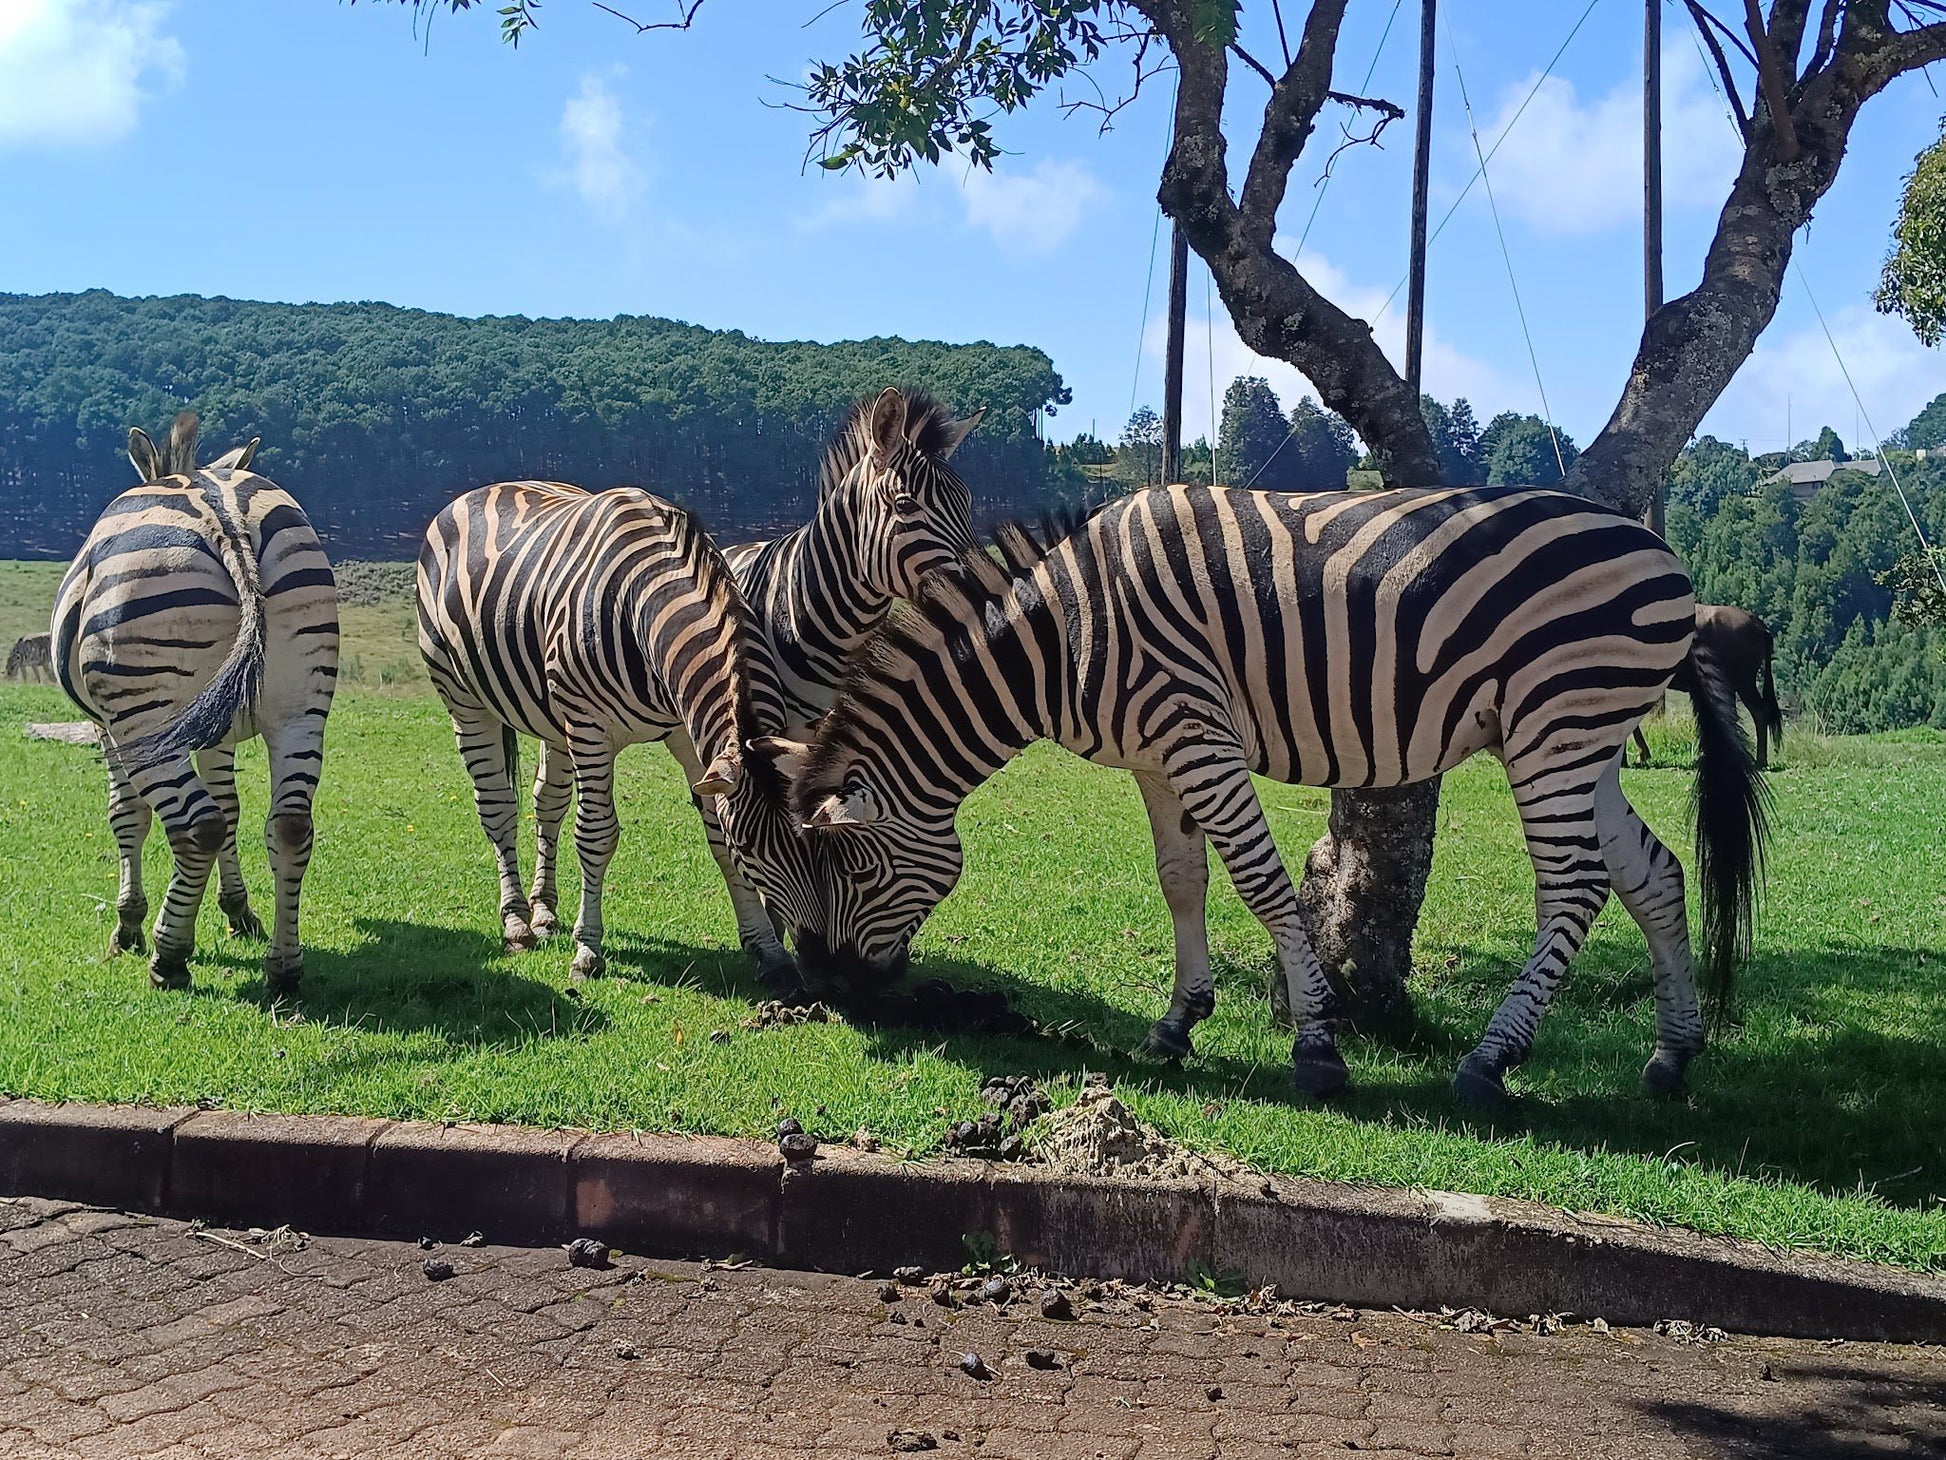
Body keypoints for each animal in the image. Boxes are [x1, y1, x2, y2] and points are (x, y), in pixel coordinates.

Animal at [53, 416, 340, 1004]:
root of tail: (226, 517)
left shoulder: (108, 730)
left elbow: (128, 815)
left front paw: (129, 923)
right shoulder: (217, 731)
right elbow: (232, 810)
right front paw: (238, 911)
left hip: (143, 713)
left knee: (195, 826)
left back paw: (169, 956)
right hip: (302, 709)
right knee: (289, 827)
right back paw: (284, 967)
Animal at [418, 480, 844, 985]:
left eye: (814, 839)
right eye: (749, 850)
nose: (818, 957)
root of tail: (484, 489)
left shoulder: (688, 735)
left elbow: (713, 836)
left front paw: (767, 949)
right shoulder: (590, 728)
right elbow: (596, 834)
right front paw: (587, 951)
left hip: (552, 719)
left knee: (547, 803)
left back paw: (543, 913)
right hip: (464, 699)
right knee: (498, 808)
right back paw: (517, 922)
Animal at [766, 486, 1774, 1105]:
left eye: (851, 873)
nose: (826, 988)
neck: (1064, 634)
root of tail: (1667, 562)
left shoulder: (1196, 730)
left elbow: (1261, 883)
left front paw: (1317, 1049)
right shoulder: (1155, 757)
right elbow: (1181, 880)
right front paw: (1178, 1023)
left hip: (1556, 721)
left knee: (1574, 885)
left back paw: (1491, 1060)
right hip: (1583, 739)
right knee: (1654, 876)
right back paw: (1671, 1056)